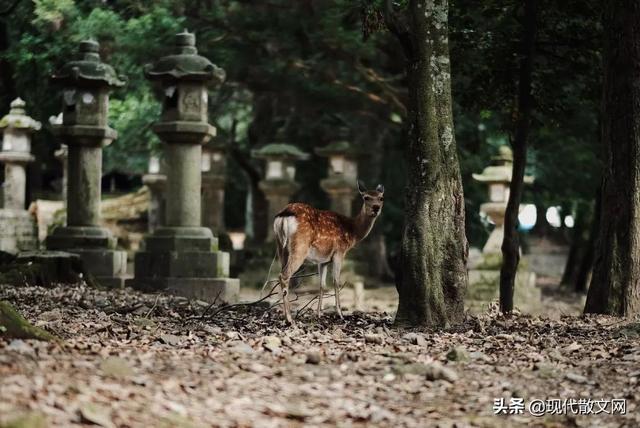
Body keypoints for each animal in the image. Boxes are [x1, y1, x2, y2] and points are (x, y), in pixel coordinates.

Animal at [272, 179, 382, 322]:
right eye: (366, 197)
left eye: (381, 198)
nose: (376, 207)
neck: (352, 232)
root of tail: (284, 215)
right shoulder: (339, 252)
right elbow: (336, 281)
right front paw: (340, 314)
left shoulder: (323, 260)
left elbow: (322, 284)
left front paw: (319, 314)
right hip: (300, 247)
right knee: (285, 275)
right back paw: (290, 319)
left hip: (281, 246)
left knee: (281, 273)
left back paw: (284, 314)